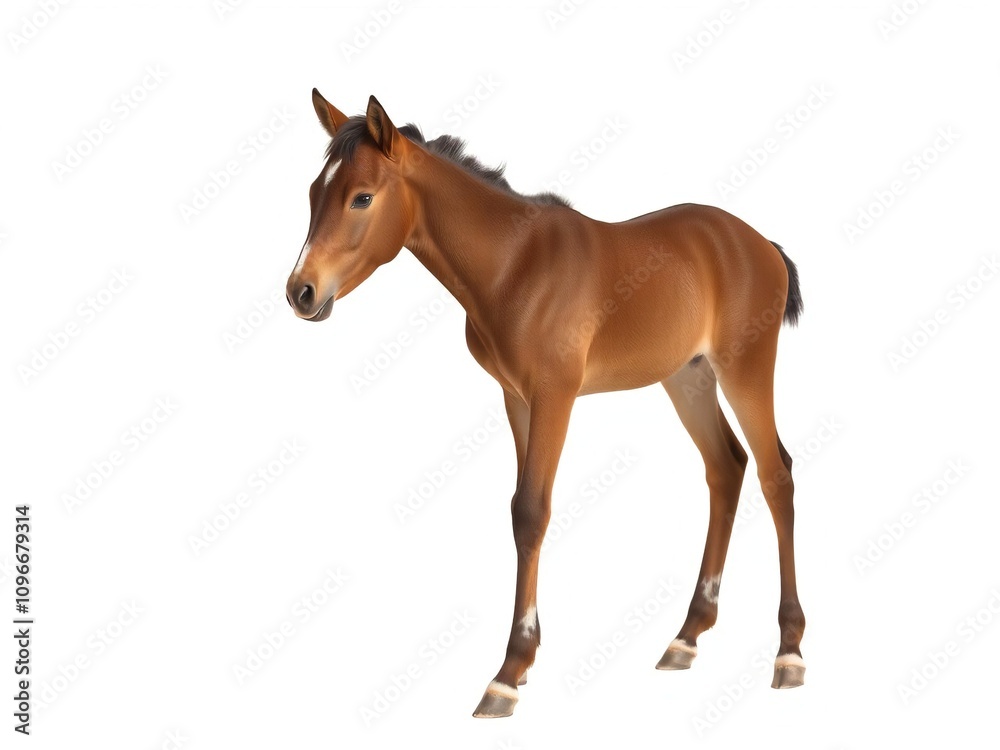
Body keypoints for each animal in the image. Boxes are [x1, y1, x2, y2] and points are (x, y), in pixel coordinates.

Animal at [286, 90, 806, 718]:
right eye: (313, 193)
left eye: (362, 196)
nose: (301, 292)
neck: (515, 264)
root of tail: (762, 244)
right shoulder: (517, 398)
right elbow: (519, 513)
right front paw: (522, 660)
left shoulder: (555, 395)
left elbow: (534, 510)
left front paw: (508, 674)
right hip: (689, 379)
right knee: (727, 466)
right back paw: (686, 638)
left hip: (744, 368)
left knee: (777, 474)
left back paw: (789, 651)